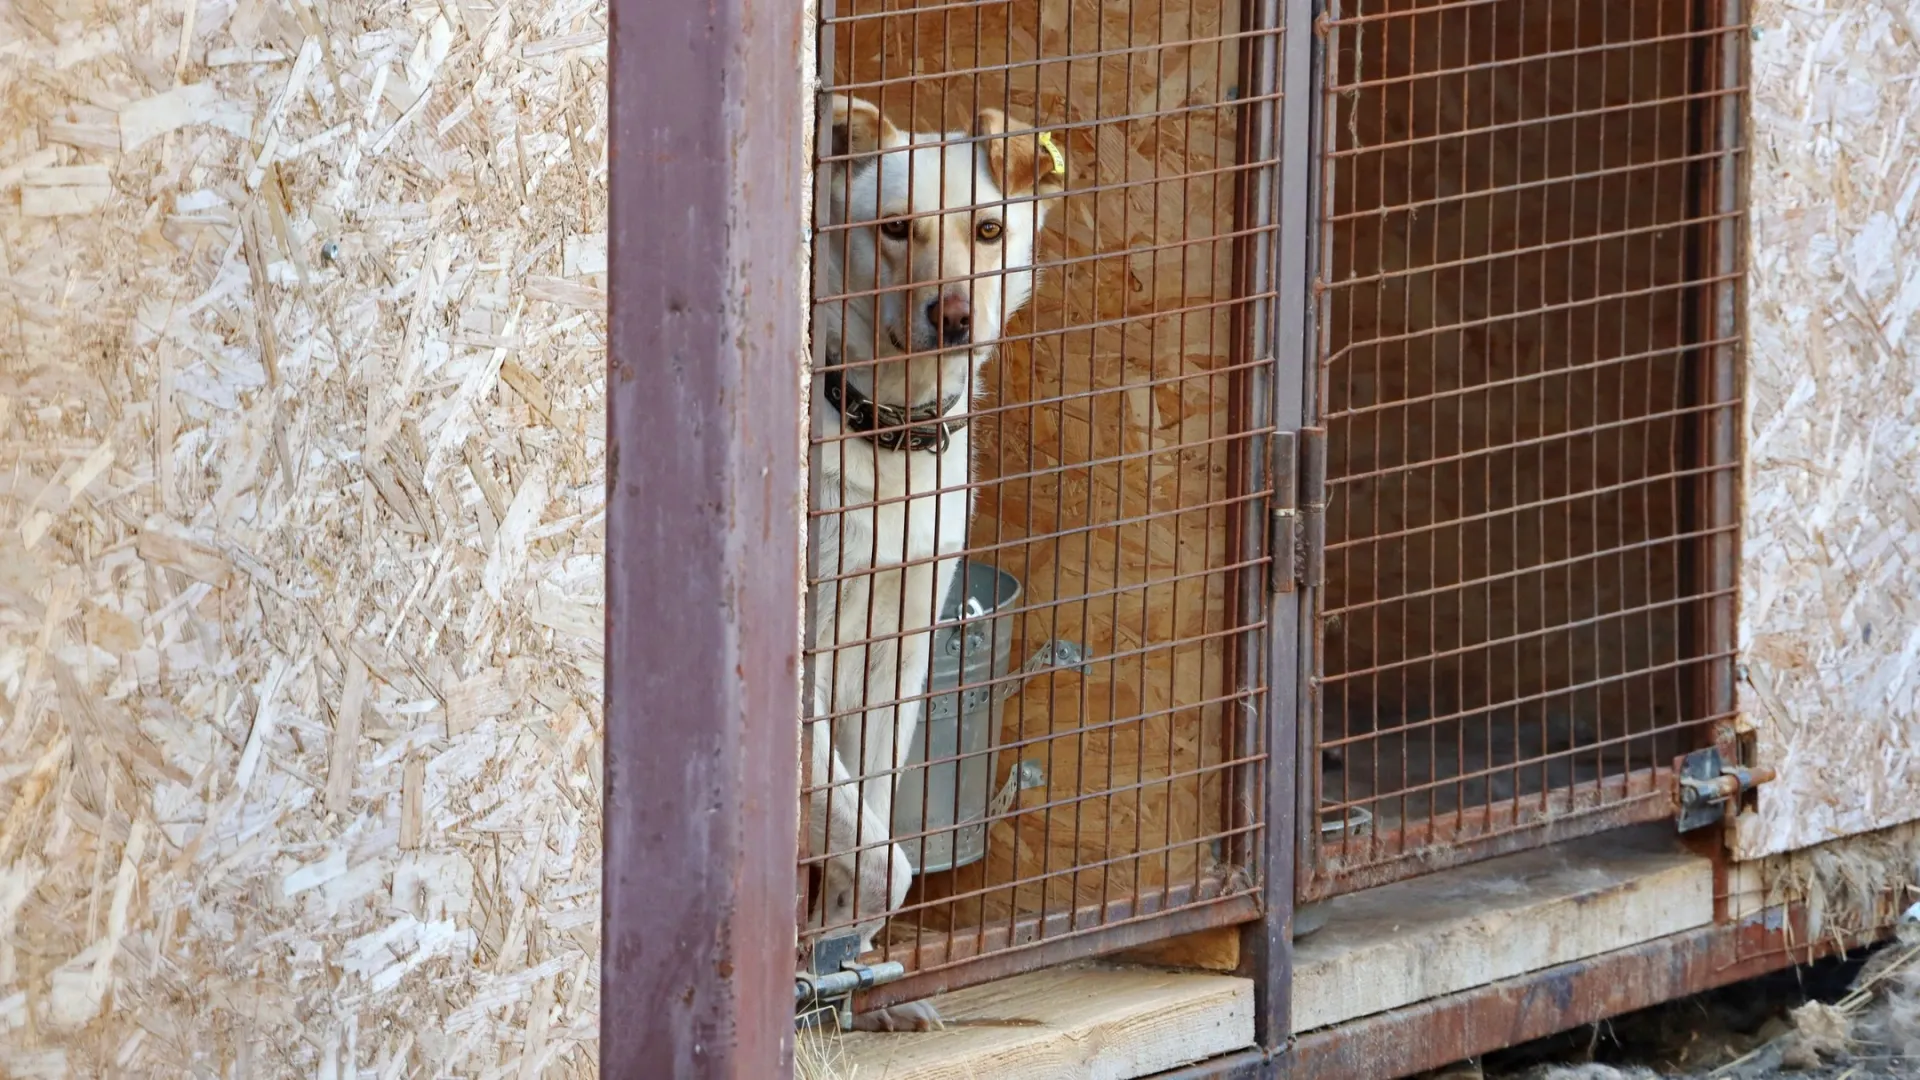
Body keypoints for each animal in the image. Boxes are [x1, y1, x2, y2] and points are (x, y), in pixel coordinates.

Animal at [804, 92, 1064, 1018]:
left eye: (987, 230)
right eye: (895, 228)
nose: (953, 317)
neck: (886, 435)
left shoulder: (899, 662)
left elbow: (875, 836)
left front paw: (839, 967)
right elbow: (887, 860)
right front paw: (817, 962)